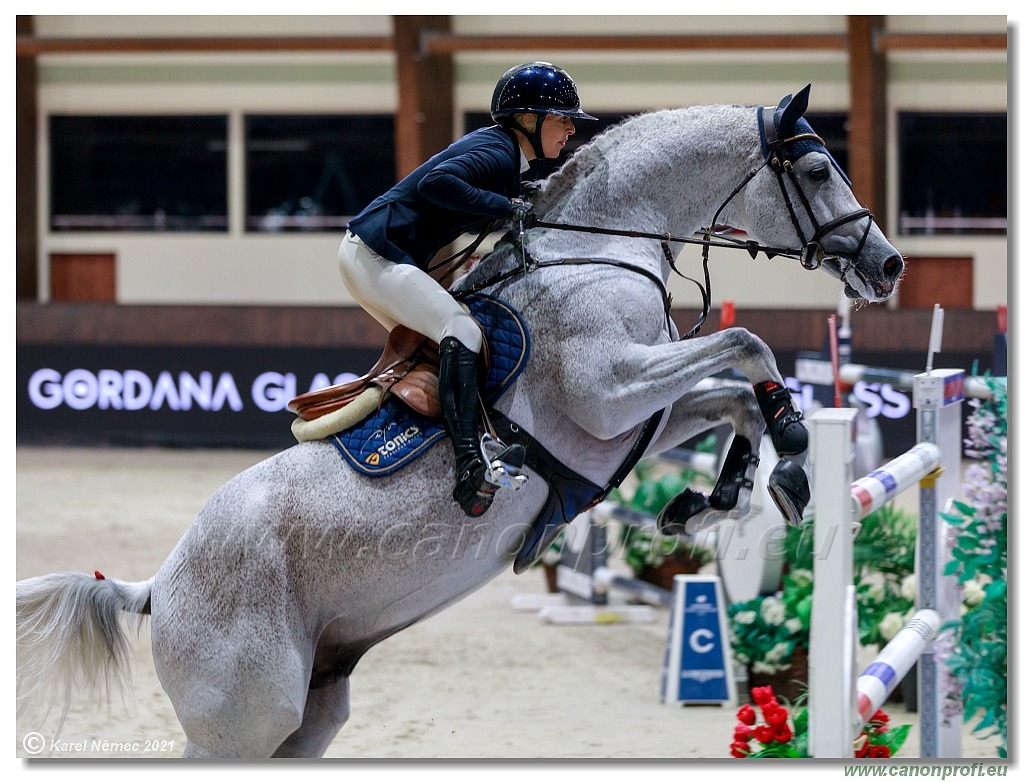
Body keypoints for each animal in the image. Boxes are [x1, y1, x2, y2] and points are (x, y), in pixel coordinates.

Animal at [14, 85, 897, 757]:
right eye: (817, 167)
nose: (886, 265)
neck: (600, 248)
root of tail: (157, 587)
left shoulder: (630, 417)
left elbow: (734, 394)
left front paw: (719, 498)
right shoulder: (610, 391)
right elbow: (748, 347)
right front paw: (791, 454)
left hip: (310, 713)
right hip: (243, 723)